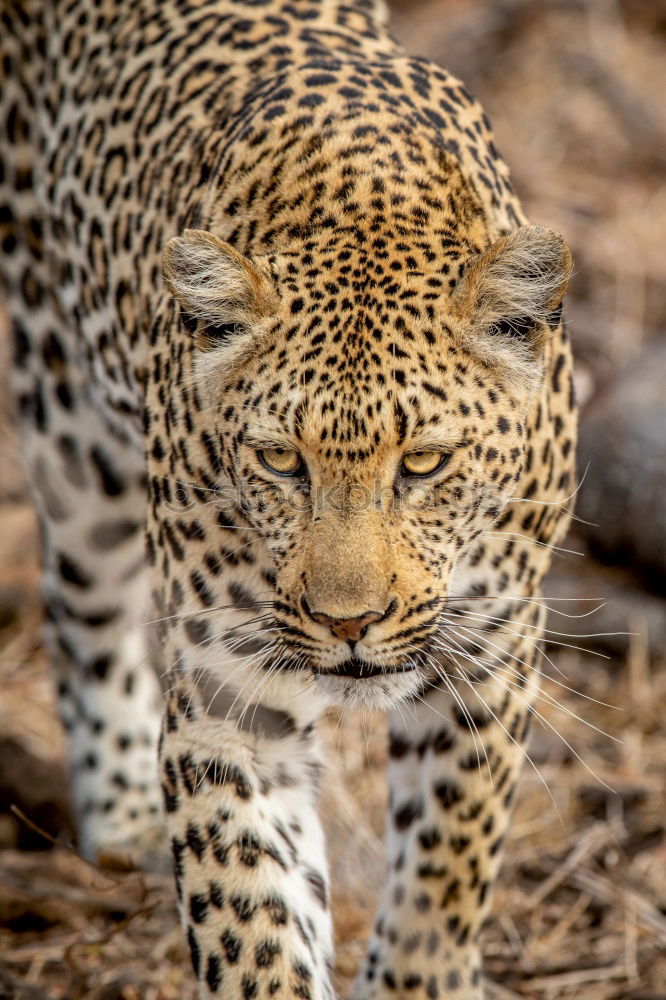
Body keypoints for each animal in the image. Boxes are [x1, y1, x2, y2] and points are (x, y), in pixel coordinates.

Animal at [1, 0, 576, 996]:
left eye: (423, 463)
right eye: (279, 461)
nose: (349, 624)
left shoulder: (496, 647)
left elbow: (446, 868)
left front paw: (419, 972)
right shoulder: (231, 700)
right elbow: (253, 923)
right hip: (68, 423)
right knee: (81, 599)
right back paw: (121, 811)